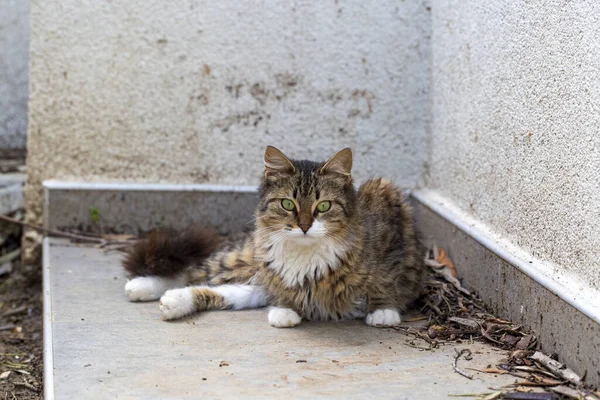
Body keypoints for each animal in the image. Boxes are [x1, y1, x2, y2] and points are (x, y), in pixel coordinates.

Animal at [122, 147, 424, 328]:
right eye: (288, 204)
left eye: (324, 206)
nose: (304, 226)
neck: (305, 256)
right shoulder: (276, 279)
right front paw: (286, 310)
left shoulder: (386, 200)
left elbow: (385, 278)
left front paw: (383, 310)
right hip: (246, 261)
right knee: (197, 271)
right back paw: (144, 286)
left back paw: (168, 298)